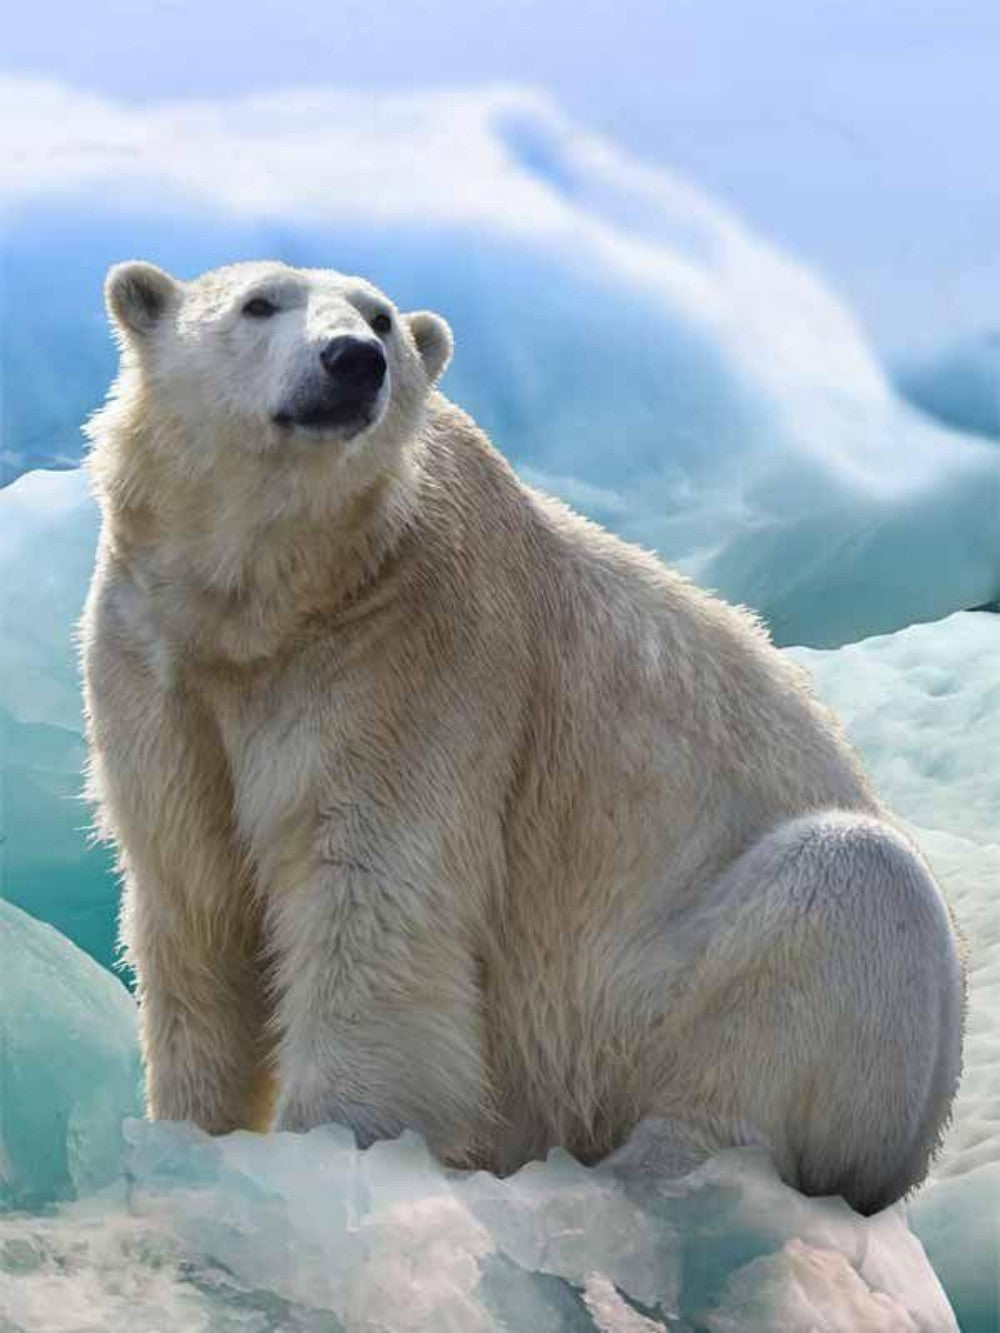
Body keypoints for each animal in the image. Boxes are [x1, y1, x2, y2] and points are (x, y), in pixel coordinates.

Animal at [81, 259, 965, 1216]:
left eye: (381, 319)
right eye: (258, 303)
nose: (353, 361)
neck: (281, 600)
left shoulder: (412, 655)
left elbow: (371, 901)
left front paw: (328, 1150)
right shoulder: (158, 664)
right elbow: (195, 900)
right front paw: (187, 1137)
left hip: (663, 1003)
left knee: (842, 900)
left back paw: (650, 1172)